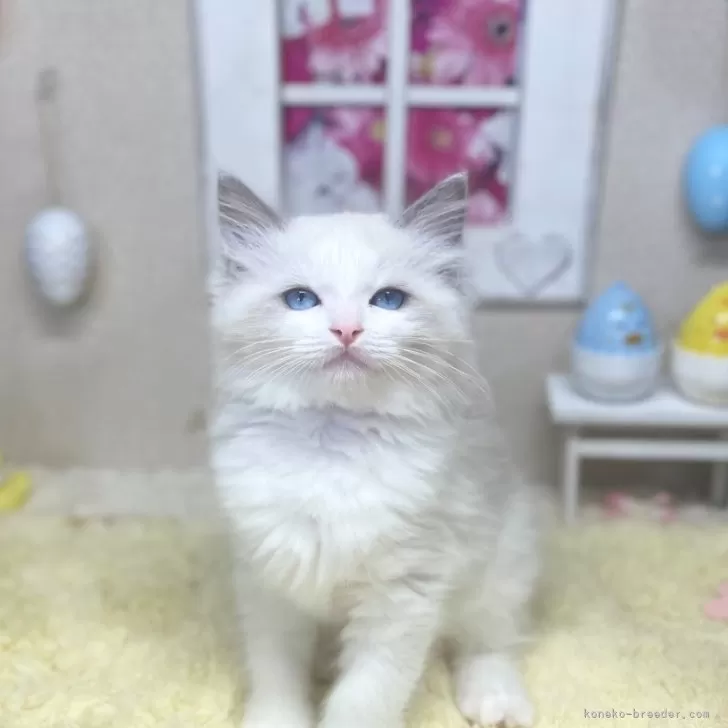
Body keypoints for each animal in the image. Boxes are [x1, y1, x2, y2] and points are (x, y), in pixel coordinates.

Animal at [209, 171, 545, 728]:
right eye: (300, 300)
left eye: (388, 300)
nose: (347, 330)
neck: (333, 443)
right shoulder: (269, 584)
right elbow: (277, 680)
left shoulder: (403, 596)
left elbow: (363, 698)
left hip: (504, 558)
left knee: (487, 645)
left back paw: (495, 704)